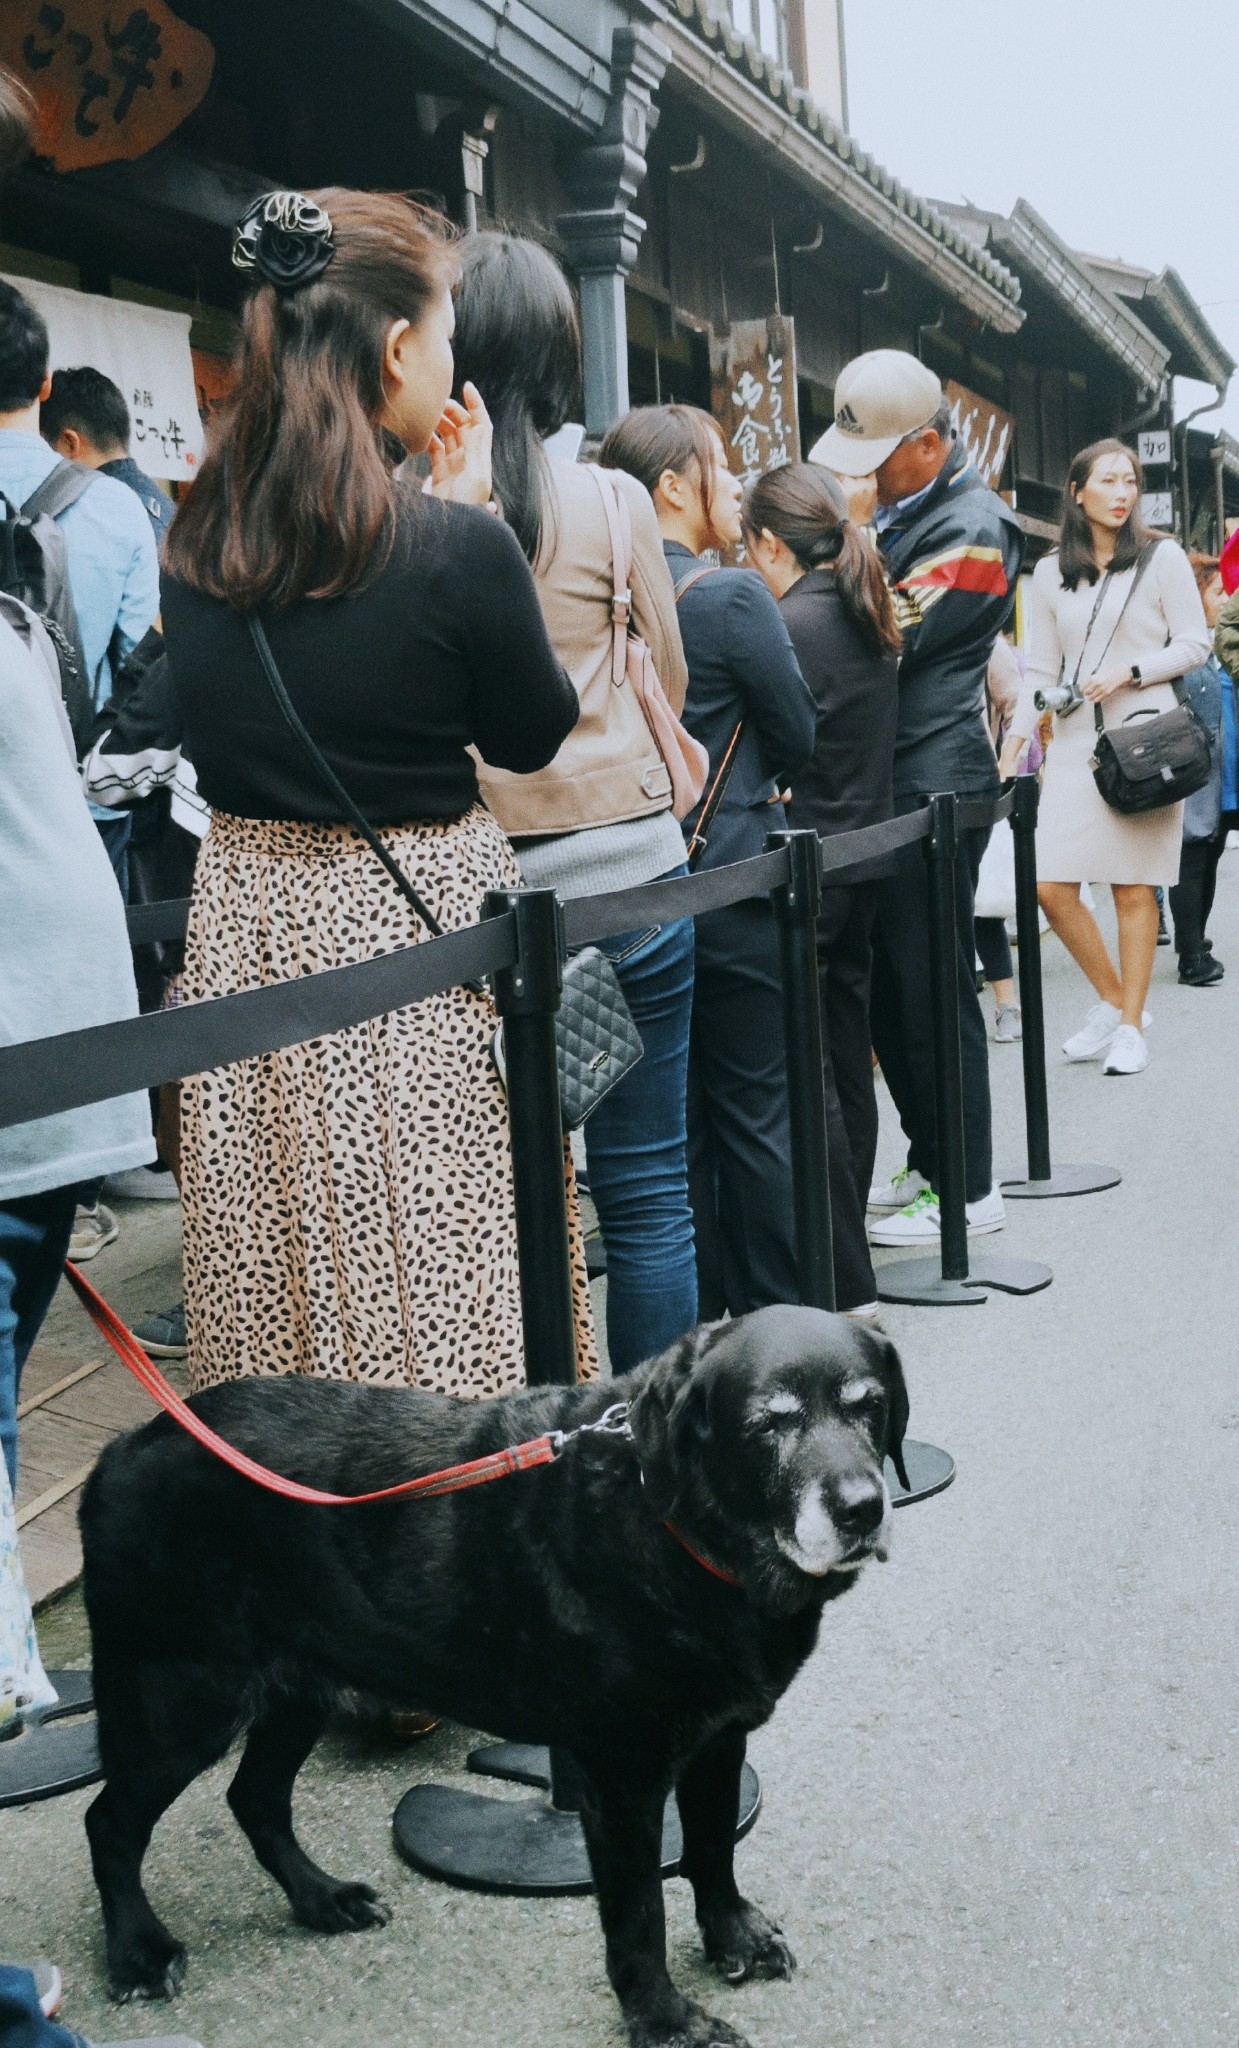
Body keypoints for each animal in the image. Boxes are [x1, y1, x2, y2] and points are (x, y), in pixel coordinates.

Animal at [79, 1302, 909, 2039]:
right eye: (768, 1424)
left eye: (868, 1408)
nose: (862, 1510)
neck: (675, 1527)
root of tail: (127, 1444)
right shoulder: (621, 1782)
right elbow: (639, 1918)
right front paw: (663, 2022)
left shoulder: (717, 1741)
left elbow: (712, 1850)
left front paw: (732, 1938)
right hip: (180, 1705)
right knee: (111, 1822)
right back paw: (138, 1953)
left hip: (298, 1691)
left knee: (254, 1798)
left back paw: (321, 1900)